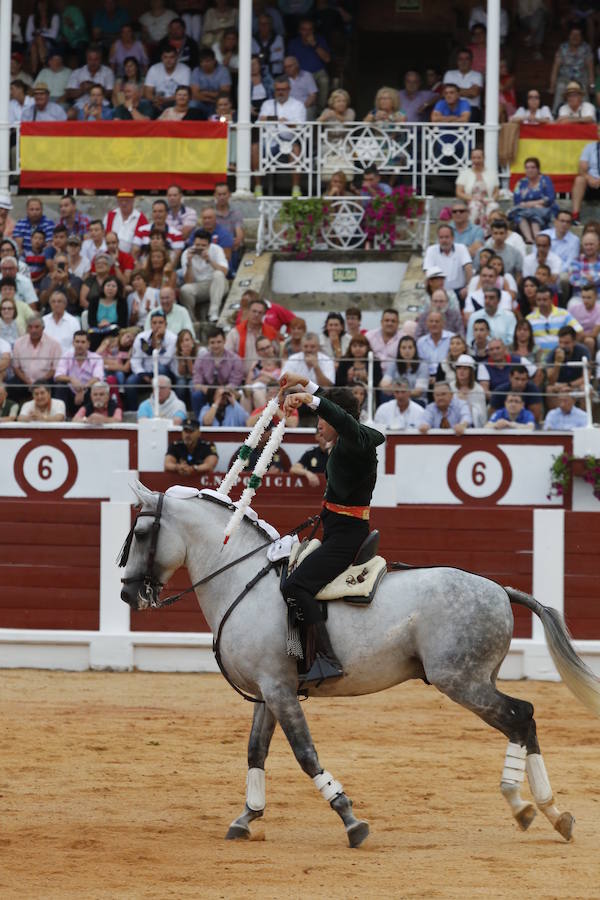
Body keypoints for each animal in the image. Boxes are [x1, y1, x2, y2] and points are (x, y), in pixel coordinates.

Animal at [119, 482, 600, 848]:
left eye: (140, 532)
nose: (125, 592)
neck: (242, 581)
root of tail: (501, 589)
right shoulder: (267, 691)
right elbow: (256, 750)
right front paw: (246, 817)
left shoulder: (278, 690)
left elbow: (305, 753)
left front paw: (350, 818)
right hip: (473, 680)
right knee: (525, 719)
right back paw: (550, 813)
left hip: (462, 681)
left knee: (521, 715)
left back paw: (528, 806)